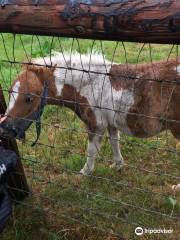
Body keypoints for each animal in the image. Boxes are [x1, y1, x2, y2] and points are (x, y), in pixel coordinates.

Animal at [0, 53, 180, 176]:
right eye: (9, 92)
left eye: (29, 98)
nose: (5, 128)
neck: (91, 85)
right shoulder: (111, 123)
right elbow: (115, 142)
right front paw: (118, 165)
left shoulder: (96, 125)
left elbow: (91, 149)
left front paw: (85, 172)